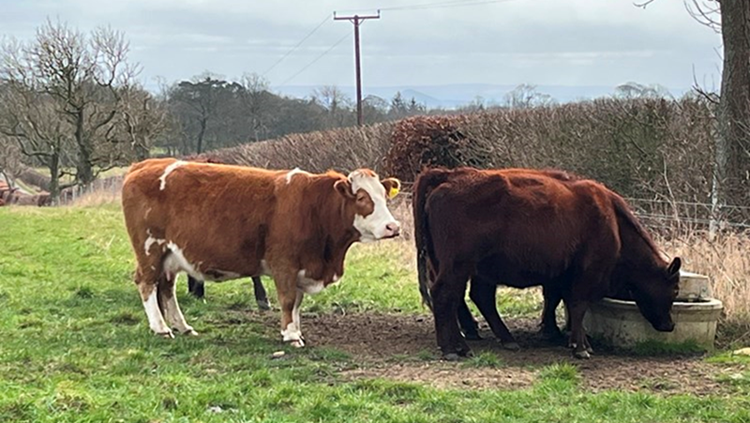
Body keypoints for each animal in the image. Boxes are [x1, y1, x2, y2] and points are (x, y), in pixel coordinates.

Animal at [121, 158, 401, 346]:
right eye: (362, 198)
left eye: (384, 196)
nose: (394, 226)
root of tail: (144, 165)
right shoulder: (284, 264)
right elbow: (287, 299)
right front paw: (291, 335)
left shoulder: (301, 269)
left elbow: (297, 302)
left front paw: (295, 330)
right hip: (150, 249)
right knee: (146, 283)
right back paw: (160, 328)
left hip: (170, 255)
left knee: (167, 290)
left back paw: (182, 326)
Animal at [413, 167, 680, 360]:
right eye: (675, 290)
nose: (670, 325)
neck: (612, 221)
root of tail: (448, 176)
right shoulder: (586, 274)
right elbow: (577, 305)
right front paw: (580, 346)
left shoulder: (561, 274)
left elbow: (558, 301)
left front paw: (570, 337)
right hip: (458, 266)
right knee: (446, 296)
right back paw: (453, 348)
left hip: (467, 268)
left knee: (470, 298)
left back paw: (494, 340)